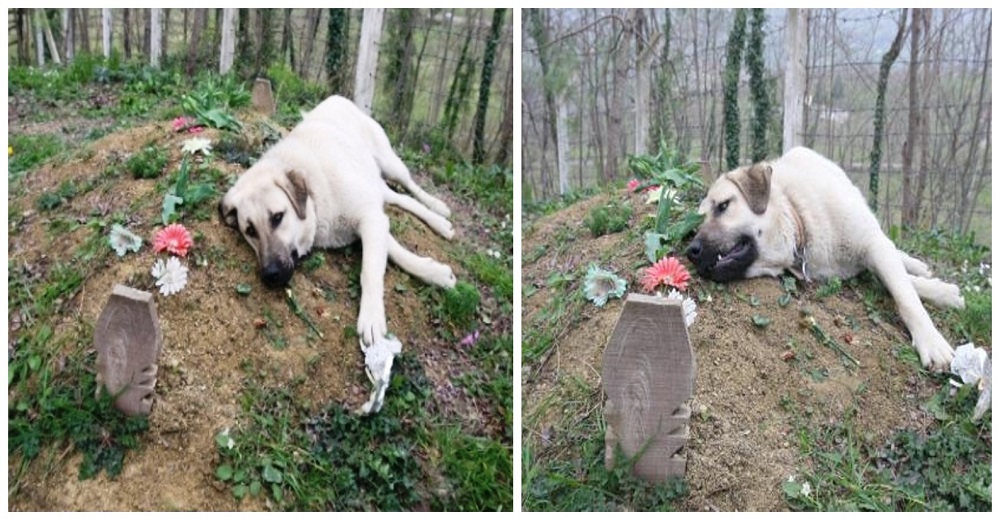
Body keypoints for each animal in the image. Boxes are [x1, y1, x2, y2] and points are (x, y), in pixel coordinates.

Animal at [221, 96, 458, 350]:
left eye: (277, 217)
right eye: (249, 230)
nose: (270, 275)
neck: (315, 195)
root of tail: (336, 98)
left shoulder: (369, 217)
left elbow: (370, 270)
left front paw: (372, 317)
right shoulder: (372, 217)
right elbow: (394, 251)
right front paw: (433, 271)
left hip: (391, 165)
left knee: (411, 186)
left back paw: (438, 209)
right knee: (399, 198)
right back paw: (440, 222)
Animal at [692, 144, 964, 370]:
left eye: (724, 206)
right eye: (698, 221)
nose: (691, 252)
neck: (799, 219)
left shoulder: (872, 246)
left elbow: (905, 295)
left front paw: (932, 340)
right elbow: (899, 284)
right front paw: (944, 292)